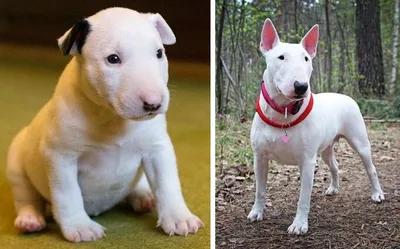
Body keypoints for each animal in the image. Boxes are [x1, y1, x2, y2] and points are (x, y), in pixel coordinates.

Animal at [7, 7, 203, 241]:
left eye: (159, 53)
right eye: (113, 59)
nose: (154, 103)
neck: (112, 117)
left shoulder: (157, 149)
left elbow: (167, 183)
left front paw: (179, 218)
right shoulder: (60, 157)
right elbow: (67, 193)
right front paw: (80, 226)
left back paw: (143, 196)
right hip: (16, 162)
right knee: (26, 196)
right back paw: (30, 220)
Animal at [247, 18, 384, 234]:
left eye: (306, 59)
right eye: (281, 57)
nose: (301, 86)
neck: (284, 112)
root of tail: (345, 96)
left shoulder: (307, 161)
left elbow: (303, 197)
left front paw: (299, 224)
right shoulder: (260, 158)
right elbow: (260, 190)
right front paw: (257, 212)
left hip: (360, 143)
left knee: (371, 168)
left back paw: (377, 194)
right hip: (326, 148)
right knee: (335, 166)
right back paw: (334, 188)